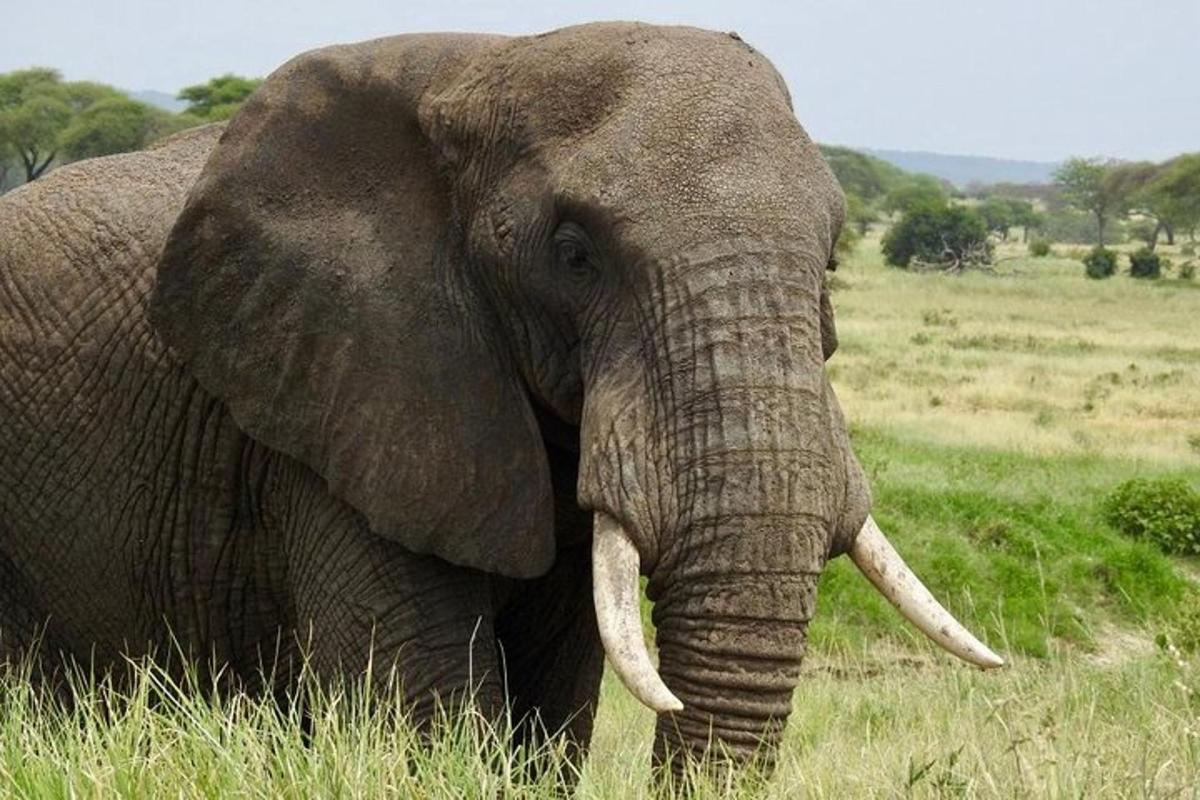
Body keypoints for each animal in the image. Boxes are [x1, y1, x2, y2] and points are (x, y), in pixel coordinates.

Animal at [0, 21, 998, 786]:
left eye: (829, 259)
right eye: (575, 254)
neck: (485, 66)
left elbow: (553, 709)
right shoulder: (345, 398)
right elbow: (427, 706)